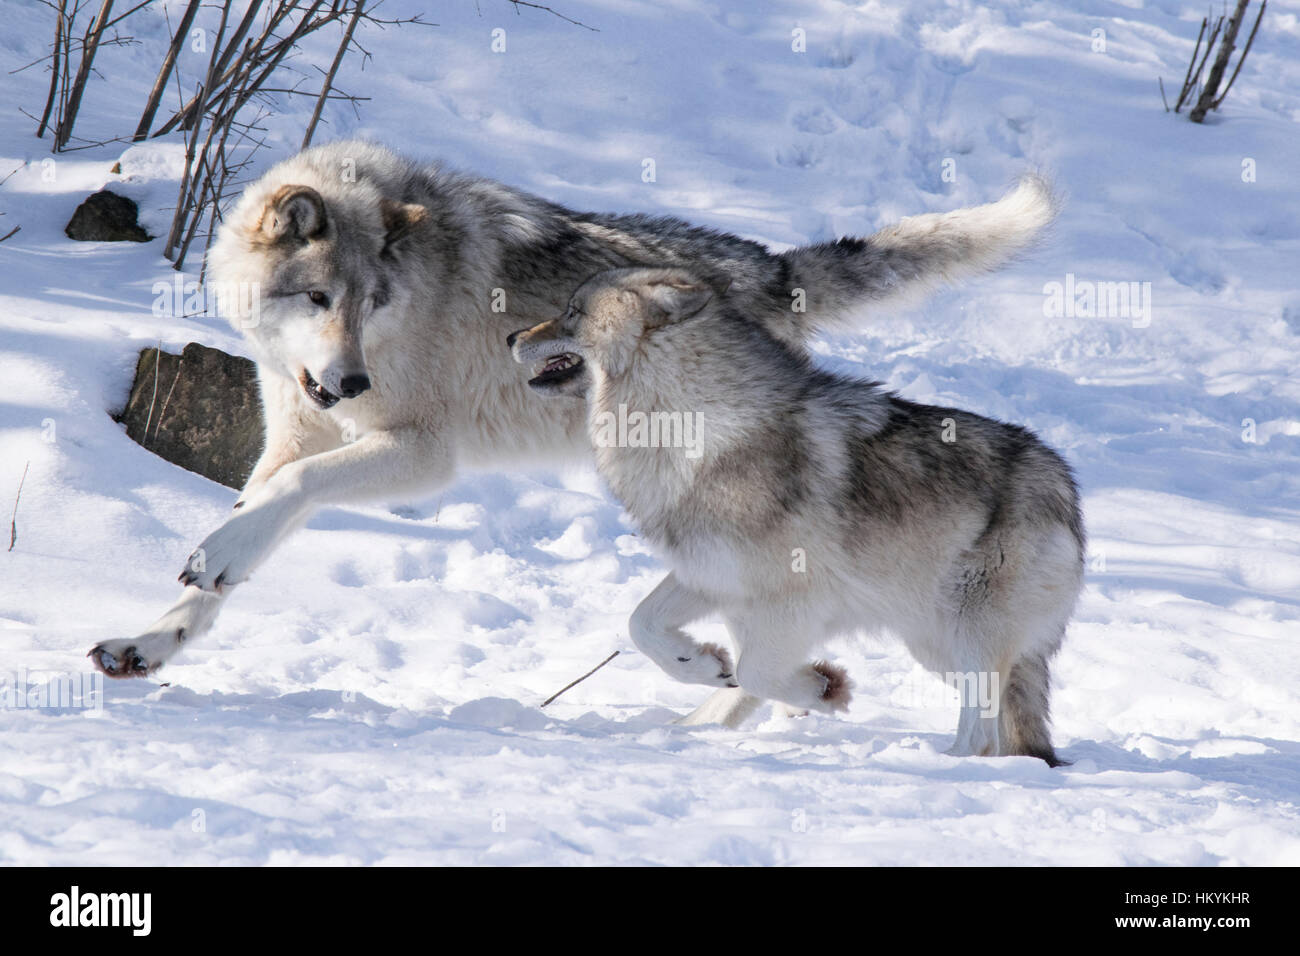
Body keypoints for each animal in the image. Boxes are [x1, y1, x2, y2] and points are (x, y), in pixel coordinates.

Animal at [91, 140, 1055, 723]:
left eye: (374, 302)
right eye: (321, 298)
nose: (351, 381)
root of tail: (769, 268)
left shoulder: (418, 452)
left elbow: (281, 501)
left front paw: (210, 562)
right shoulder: (294, 432)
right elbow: (240, 540)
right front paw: (152, 640)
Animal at [512, 267, 1081, 764]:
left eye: (572, 311)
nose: (512, 335)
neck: (688, 430)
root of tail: (1066, 489)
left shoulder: (794, 600)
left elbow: (757, 673)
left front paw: (821, 689)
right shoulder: (712, 574)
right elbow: (642, 625)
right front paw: (701, 664)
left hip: (967, 638)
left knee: (981, 736)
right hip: (936, 648)